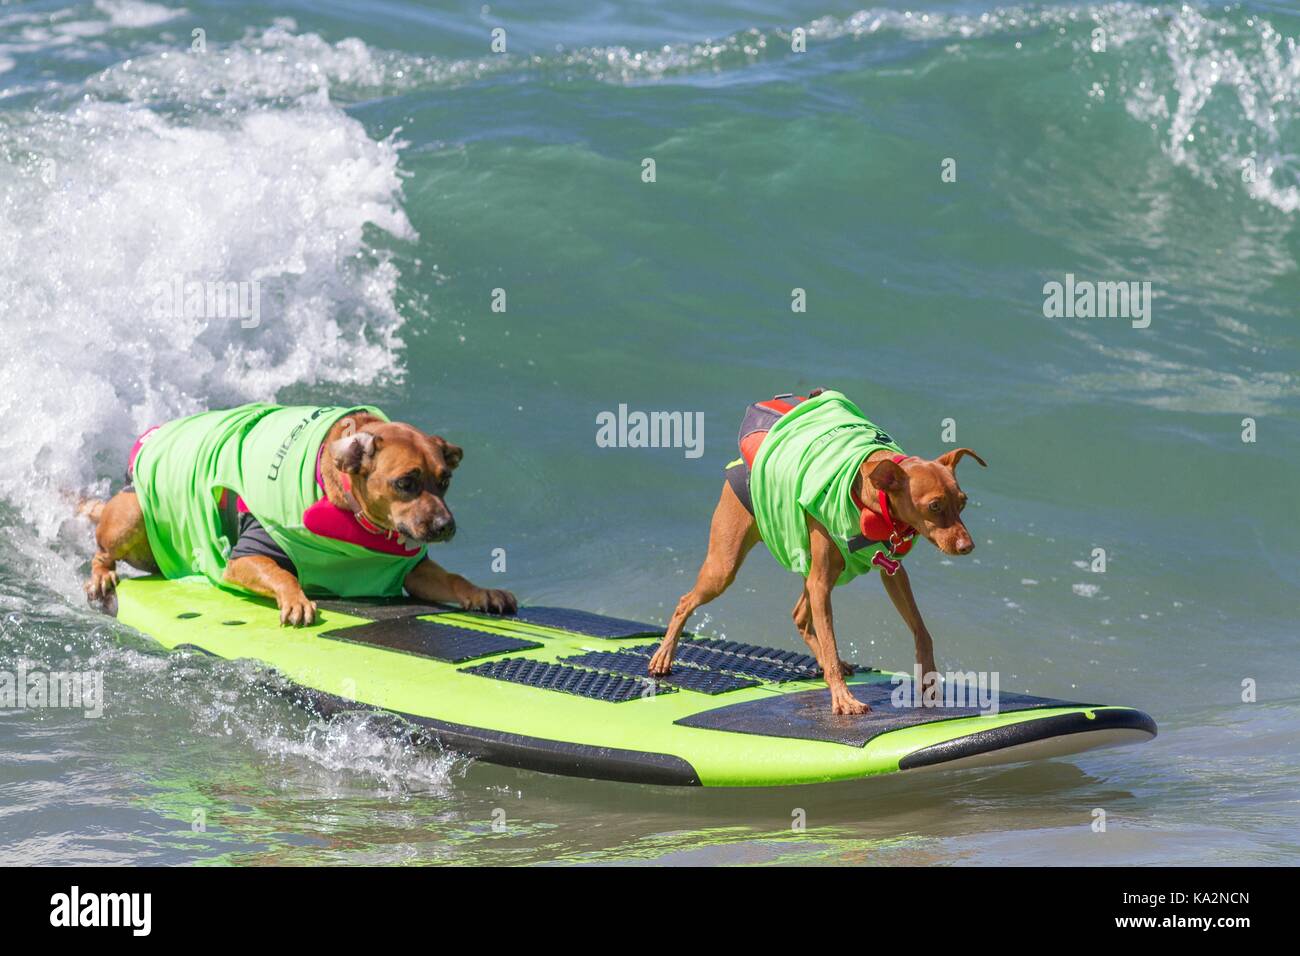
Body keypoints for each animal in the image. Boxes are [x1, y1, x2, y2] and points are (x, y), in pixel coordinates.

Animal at [79, 405, 517, 624]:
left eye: (445, 480)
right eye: (406, 482)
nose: (445, 526)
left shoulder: (410, 569)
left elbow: (452, 578)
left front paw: (481, 591)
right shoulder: (247, 558)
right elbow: (281, 573)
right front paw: (296, 598)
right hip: (132, 513)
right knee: (101, 551)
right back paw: (102, 575)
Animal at [650, 390, 982, 712]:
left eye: (963, 502)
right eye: (934, 506)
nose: (967, 546)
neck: (868, 500)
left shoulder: (892, 573)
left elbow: (921, 631)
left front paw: (928, 680)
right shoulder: (821, 583)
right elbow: (831, 643)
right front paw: (844, 699)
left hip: (821, 570)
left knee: (799, 615)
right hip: (726, 567)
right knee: (686, 601)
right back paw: (663, 656)